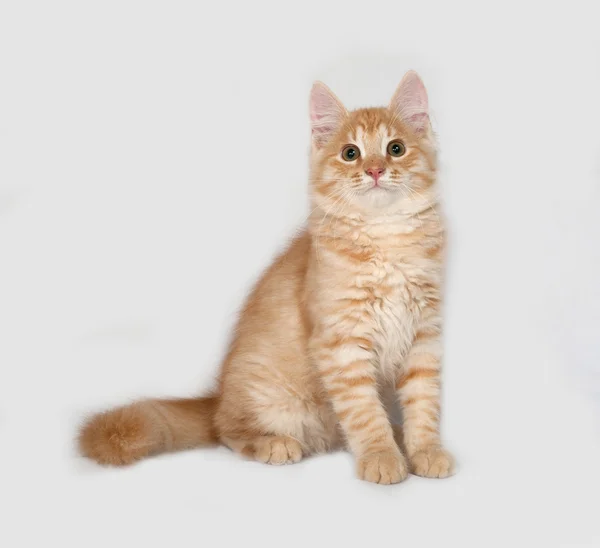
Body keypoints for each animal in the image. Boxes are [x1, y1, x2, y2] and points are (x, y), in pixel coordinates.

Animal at [78, 71, 454, 484]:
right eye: (350, 153)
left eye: (396, 148)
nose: (374, 171)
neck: (385, 235)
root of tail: (218, 397)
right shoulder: (342, 345)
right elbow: (365, 413)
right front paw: (381, 457)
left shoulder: (424, 337)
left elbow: (423, 405)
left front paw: (424, 451)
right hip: (267, 398)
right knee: (228, 431)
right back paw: (274, 443)